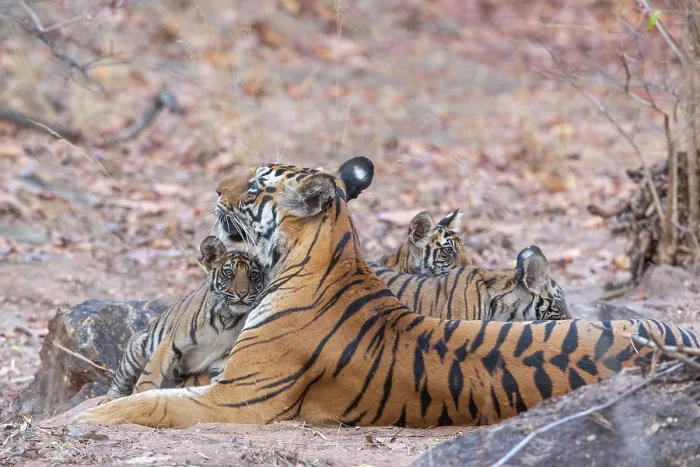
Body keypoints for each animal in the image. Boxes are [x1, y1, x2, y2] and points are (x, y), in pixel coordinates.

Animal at [104, 236, 265, 401]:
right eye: (228, 272)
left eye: (253, 274)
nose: (242, 293)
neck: (227, 317)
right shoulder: (170, 343)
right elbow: (149, 376)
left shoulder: (222, 358)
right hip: (136, 348)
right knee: (120, 381)